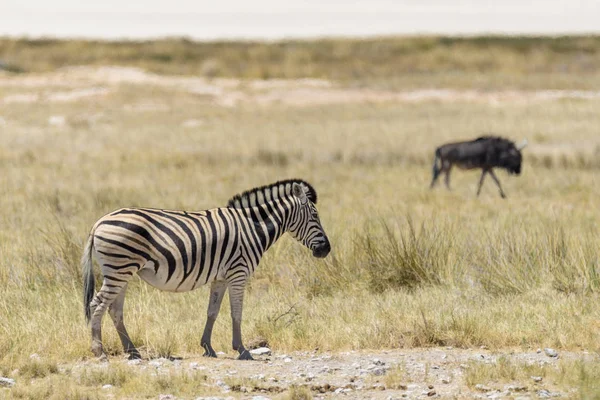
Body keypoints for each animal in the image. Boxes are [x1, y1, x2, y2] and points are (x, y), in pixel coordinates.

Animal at [82, 180, 330, 360]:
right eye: (315, 216)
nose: (326, 250)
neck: (253, 228)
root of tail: (98, 222)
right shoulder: (238, 273)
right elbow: (236, 312)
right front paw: (242, 349)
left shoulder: (221, 277)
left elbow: (212, 311)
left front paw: (207, 347)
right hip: (119, 268)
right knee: (97, 305)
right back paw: (99, 352)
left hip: (121, 271)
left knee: (115, 310)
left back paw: (132, 351)